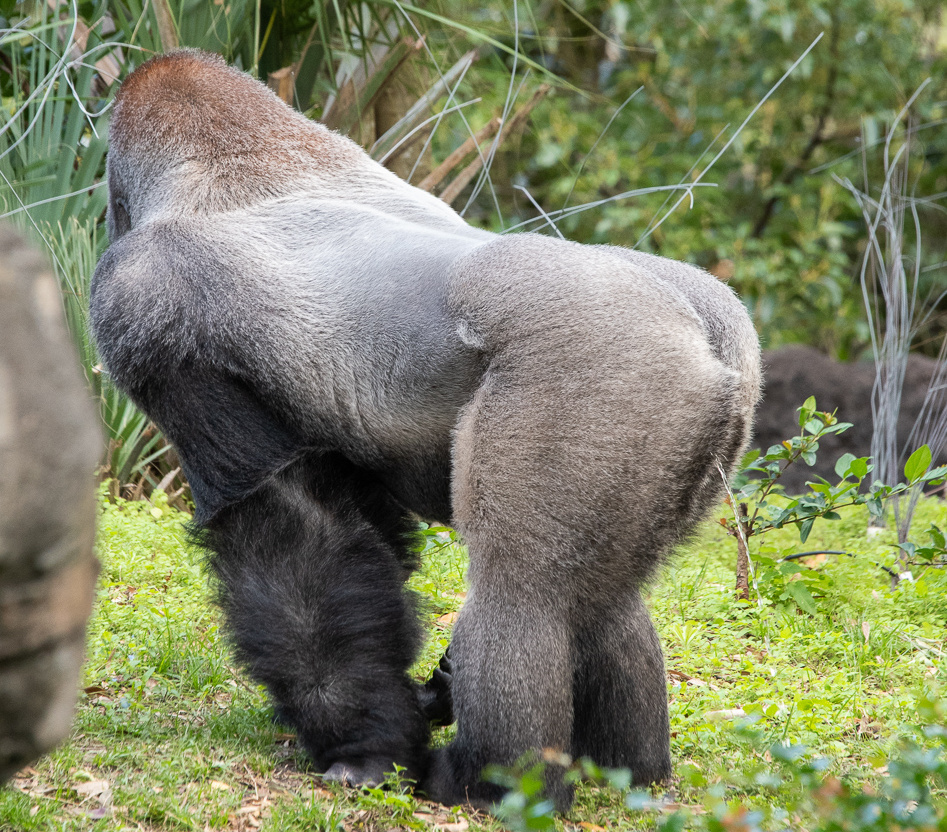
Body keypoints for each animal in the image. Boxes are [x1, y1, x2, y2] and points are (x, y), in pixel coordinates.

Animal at [90, 49, 761, 810]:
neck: (233, 155)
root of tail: (707, 335)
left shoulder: (143, 303)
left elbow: (285, 531)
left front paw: (366, 749)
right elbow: (361, 531)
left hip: (606, 373)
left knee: (519, 594)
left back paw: (492, 779)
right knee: (601, 602)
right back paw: (625, 769)